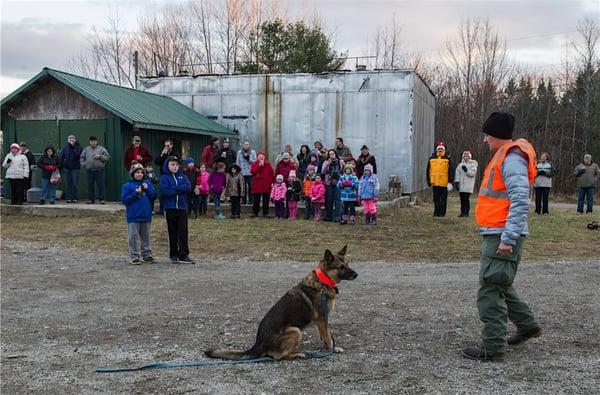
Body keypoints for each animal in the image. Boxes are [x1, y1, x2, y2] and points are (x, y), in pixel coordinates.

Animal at [206, 248, 356, 362]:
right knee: (278, 356)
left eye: (348, 264)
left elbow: (325, 335)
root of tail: (258, 344)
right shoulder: (321, 318)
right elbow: (328, 336)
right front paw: (333, 348)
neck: (323, 280)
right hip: (295, 331)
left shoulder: (321, 321)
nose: (356, 274)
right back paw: (297, 354)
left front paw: (327, 347)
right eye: (341, 267)